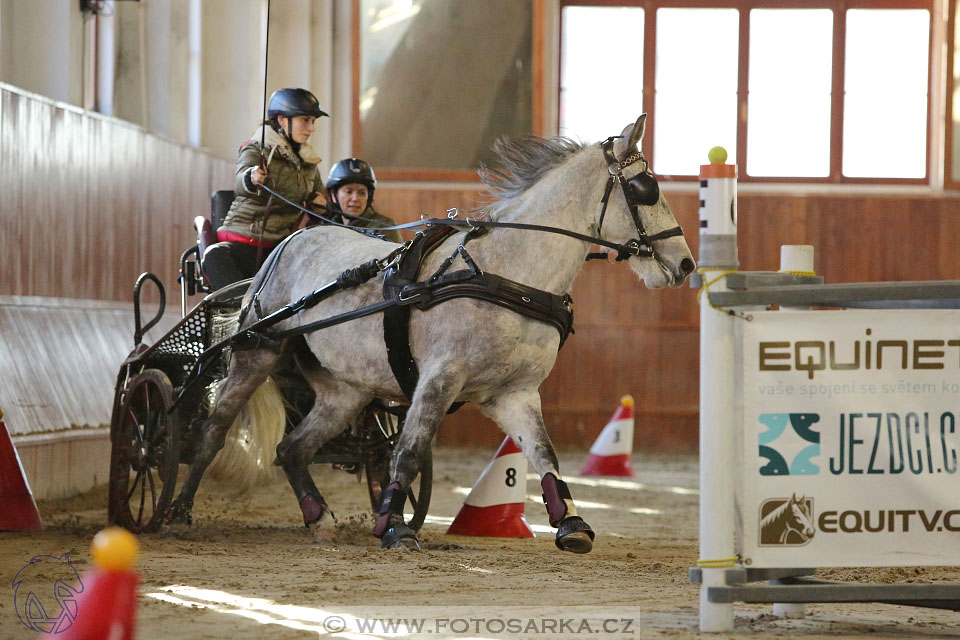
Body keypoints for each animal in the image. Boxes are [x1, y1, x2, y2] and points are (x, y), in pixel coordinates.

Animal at [169, 116, 696, 556]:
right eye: (645, 188)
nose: (687, 264)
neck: (509, 274)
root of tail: (290, 241)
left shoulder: (515, 392)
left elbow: (543, 454)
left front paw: (571, 524)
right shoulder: (438, 379)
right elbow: (408, 451)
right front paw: (394, 527)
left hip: (344, 391)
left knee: (293, 449)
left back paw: (319, 519)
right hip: (257, 353)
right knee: (213, 431)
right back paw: (176, 513)